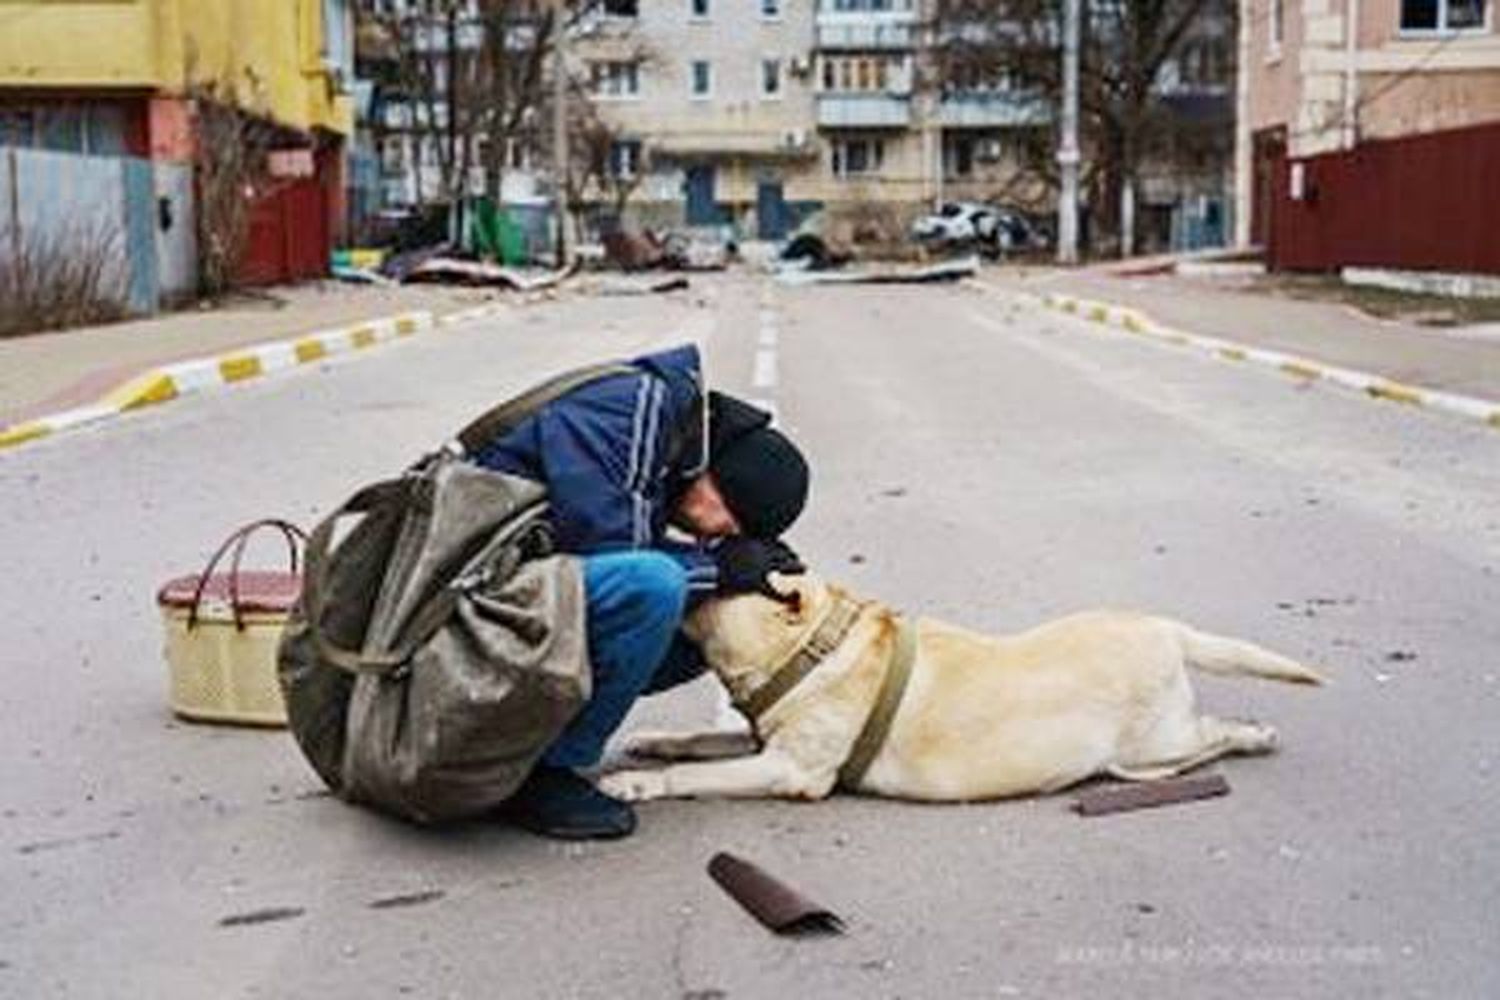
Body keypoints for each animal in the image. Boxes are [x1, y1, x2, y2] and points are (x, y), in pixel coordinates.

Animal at [597, 575, 1326, 803]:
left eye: (722, 571)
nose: (678, 545)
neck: (809, 651)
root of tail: (1167, 629)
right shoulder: (760, 738)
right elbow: (699, 740)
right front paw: (655, 741)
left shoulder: (789, 770)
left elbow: (701, 774)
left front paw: (636, 784)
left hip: (1153, 745)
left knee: (1214, 736)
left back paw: (1255, 735)